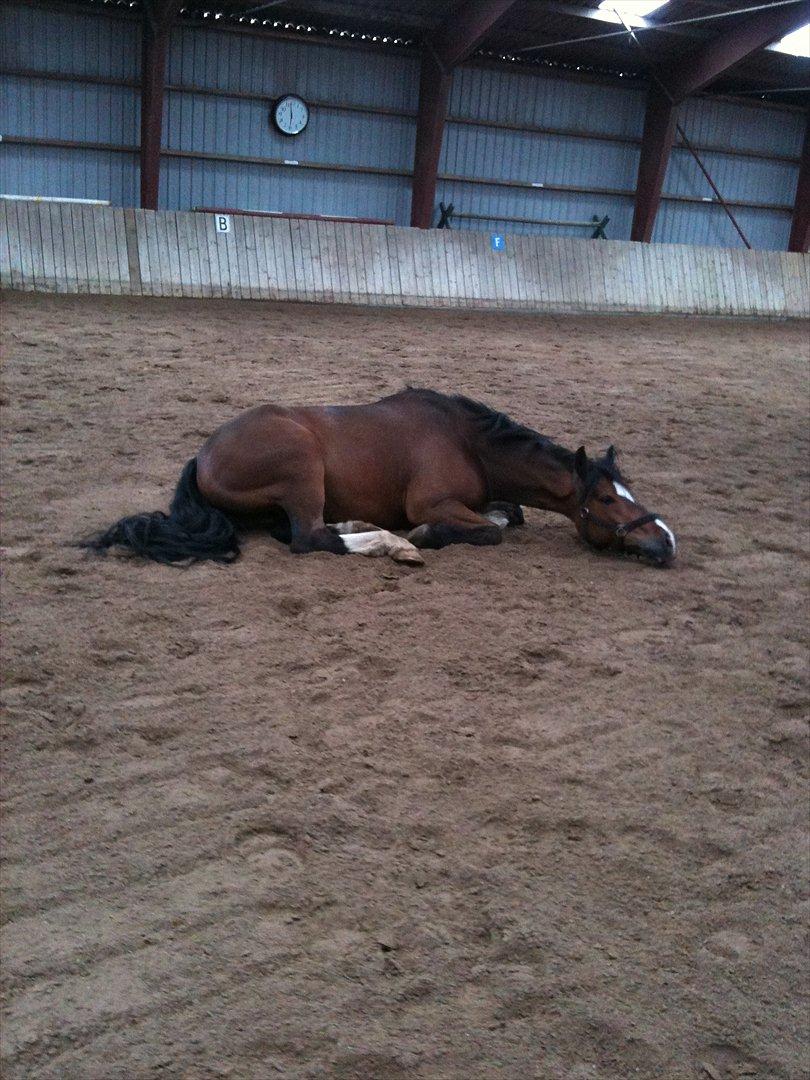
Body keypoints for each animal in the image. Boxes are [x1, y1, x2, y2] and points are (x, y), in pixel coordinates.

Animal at [83, 387, 676, 568]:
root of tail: (203, 455)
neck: (467, 442)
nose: (666, 540)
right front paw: (425, 538)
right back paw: (394, 544)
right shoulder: (433, 504)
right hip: (302, 466)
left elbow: (512, 515)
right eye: (606, 500)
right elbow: (491, 530)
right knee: (308, 538)